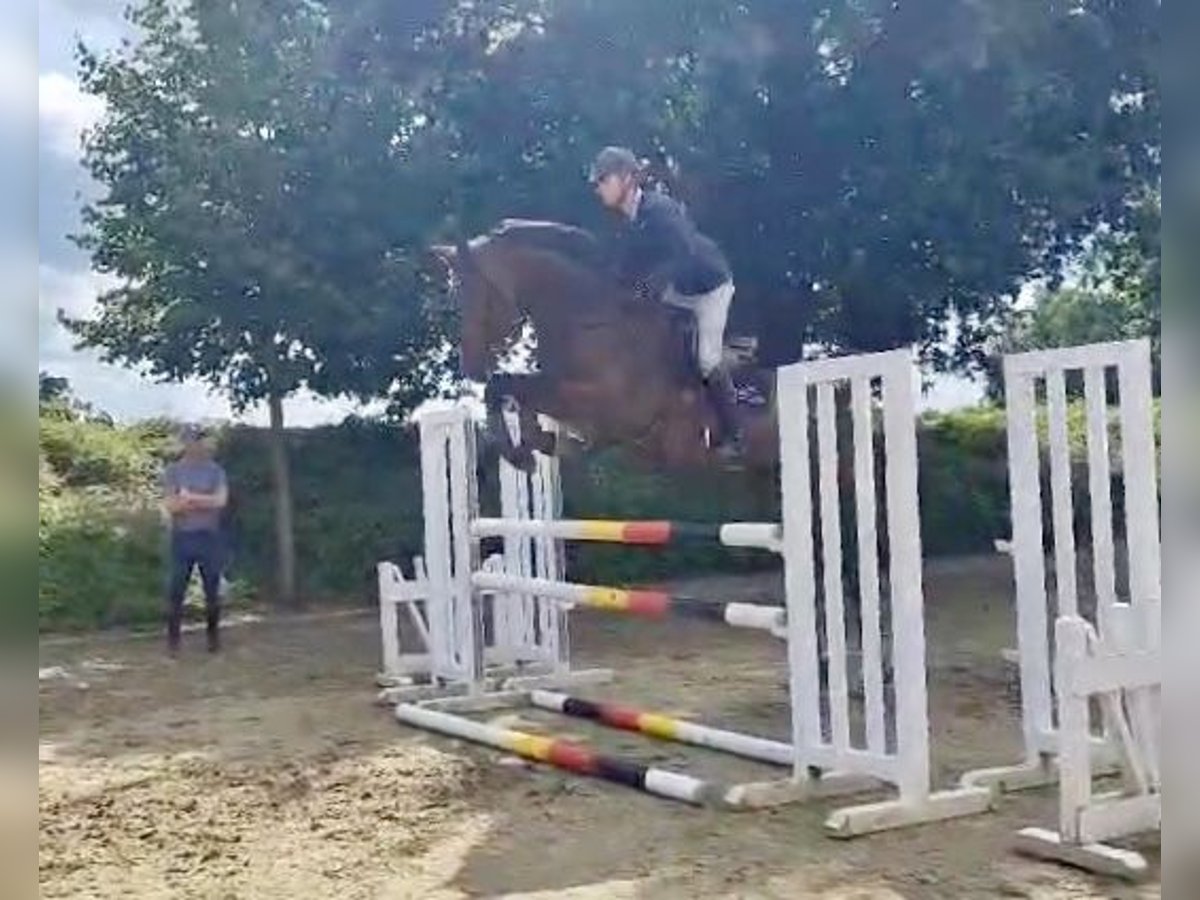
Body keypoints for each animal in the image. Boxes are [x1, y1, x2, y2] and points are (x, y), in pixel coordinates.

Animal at [429, 220, 777, 472]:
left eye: (480, 295)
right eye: (456, 297)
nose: (471, 367)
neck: (587, 322)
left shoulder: (608, 407)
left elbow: (504, 386)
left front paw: (523, 453)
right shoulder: (558, 389)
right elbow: (509, 388)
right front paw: (535, 444)